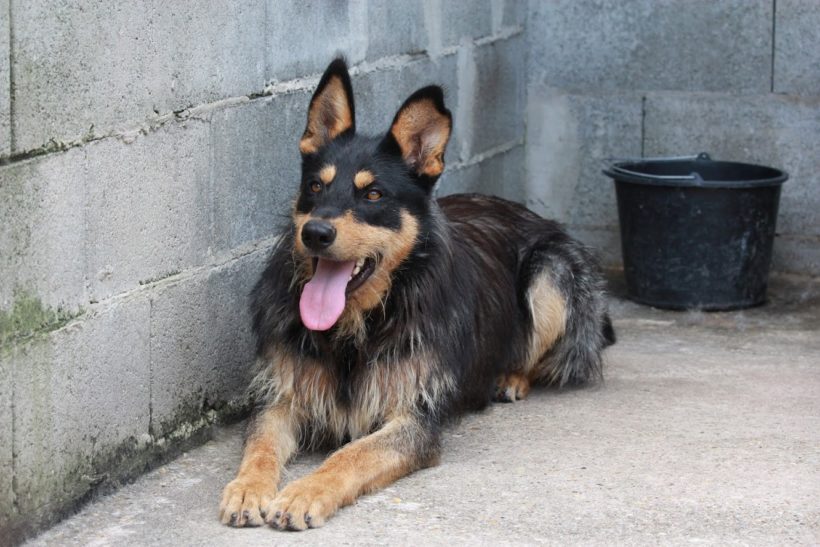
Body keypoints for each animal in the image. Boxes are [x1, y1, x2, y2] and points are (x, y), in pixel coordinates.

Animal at [219, 58, 616, 531]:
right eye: (315, 187)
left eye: (373, 194)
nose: (314, 233)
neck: (359, 326)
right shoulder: (280, 399)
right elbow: (259, 446)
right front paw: (247, 488)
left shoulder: (413, 419)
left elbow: (351, 455)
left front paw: (305, 492)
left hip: (551, 274)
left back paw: (510, 377)